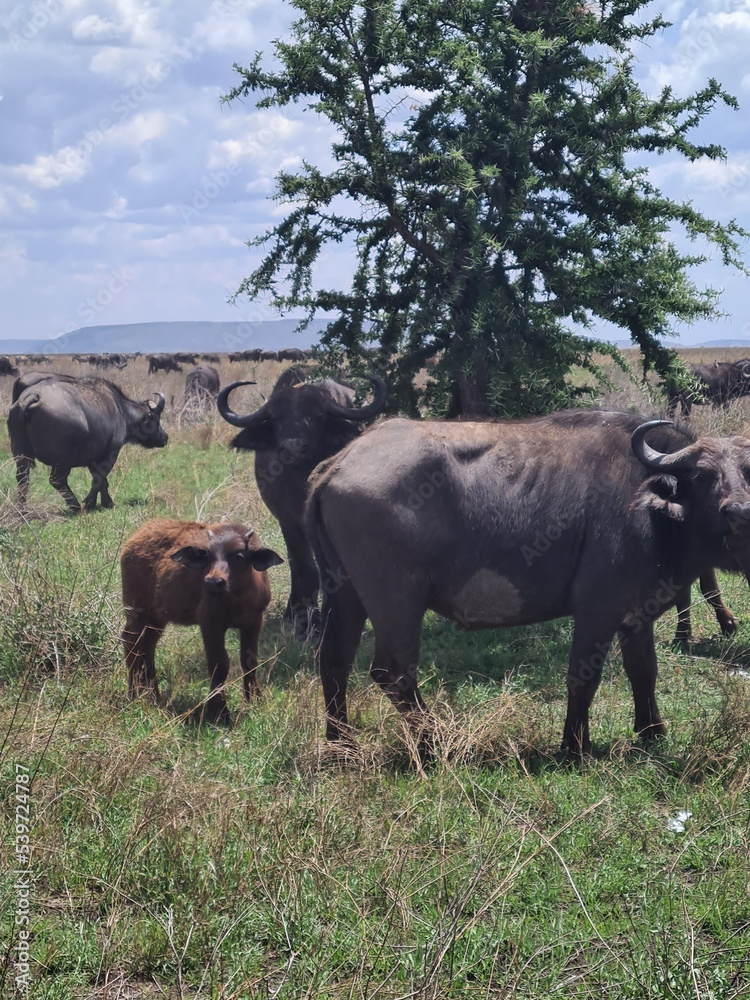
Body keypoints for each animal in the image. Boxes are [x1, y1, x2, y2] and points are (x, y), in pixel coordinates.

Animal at [8, 372, 168, 513]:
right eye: (155, 418)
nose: (165, 437)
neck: (120, 409)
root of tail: (34, 396)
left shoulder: (93, 458)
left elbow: (101, 480)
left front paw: (106, 502)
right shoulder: (110, 453)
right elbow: (99, 478)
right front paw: (91, 503)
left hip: (20, 454)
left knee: (22, 478)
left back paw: (22, 510)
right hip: (63, 460)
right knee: (57, 480)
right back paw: (75, 506)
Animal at [121, 520, 283, 723]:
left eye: (239, 555)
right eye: (208, 555)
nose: (213, 582)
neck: (236, 597)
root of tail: (135, 538)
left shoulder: (254, 621)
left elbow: (250, 661)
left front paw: (254, 699)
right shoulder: (210, 623)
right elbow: (219, 664)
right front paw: (220, 712)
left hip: (156, 617)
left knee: (148, 647)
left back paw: (153, 694)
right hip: (136, 610)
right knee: (131, 641)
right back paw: (134, 694)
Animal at [217, 367, 387, 638]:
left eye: (316, 415)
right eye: (276, 417)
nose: (292, 447)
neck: (302, 482)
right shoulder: (288, 521)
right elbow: (304, 568)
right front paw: (305, 621)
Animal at [305, 409, 750, 754]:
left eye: (747, 470)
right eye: (703, 475)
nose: (739, 511)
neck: (649, 504)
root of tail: (339, 461)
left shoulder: (635, 615)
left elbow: (643, 671)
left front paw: (652, 731)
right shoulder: (596, 610)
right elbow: (583, 677)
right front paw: (574, 746)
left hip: (344, 594)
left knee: (334, 660)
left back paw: (342, 745)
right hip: (397, 601)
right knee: (393, 671)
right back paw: (434, 741)